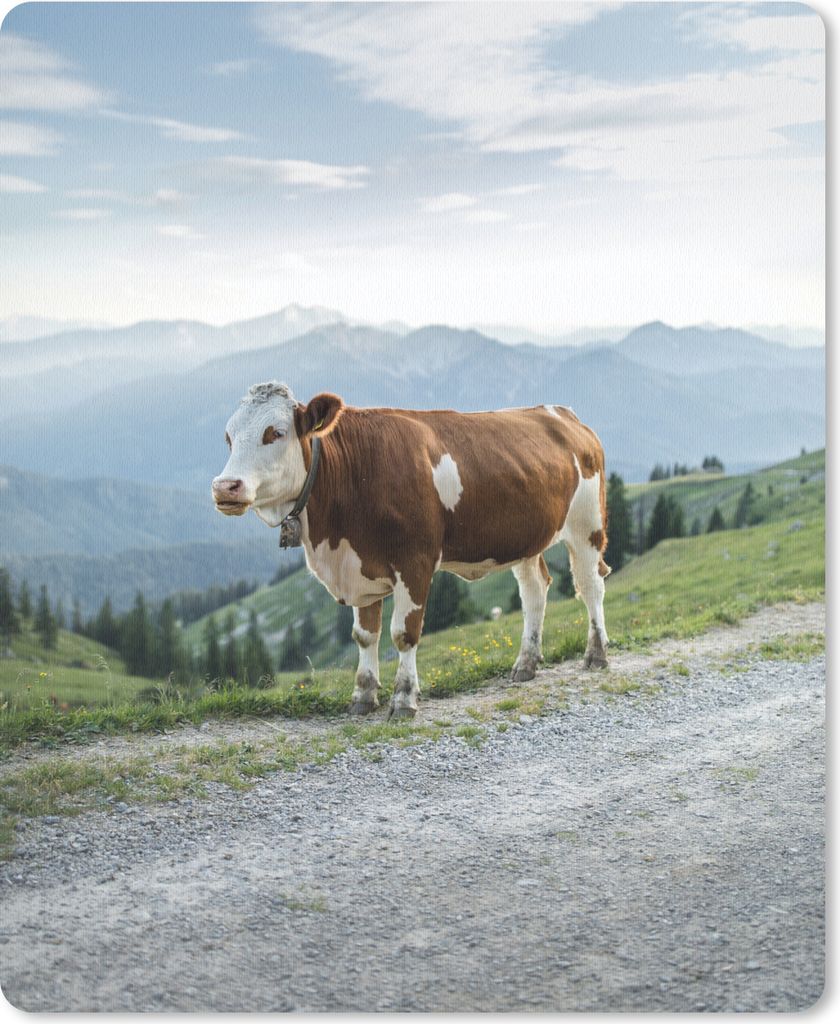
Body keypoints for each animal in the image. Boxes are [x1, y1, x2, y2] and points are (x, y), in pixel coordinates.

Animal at [212, 382, 610, 719]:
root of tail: (565, 414)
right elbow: (364, 635)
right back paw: (526, 664)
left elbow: (404, 634)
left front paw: (404, 699)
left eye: (275, 433)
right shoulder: (359, 566)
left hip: (586, 526)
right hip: (526, 539)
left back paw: (596, 655)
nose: (225, 486)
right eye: (228, 438)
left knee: (590, 587)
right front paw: (363, 696)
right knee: (534, 592)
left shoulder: (415, 562)